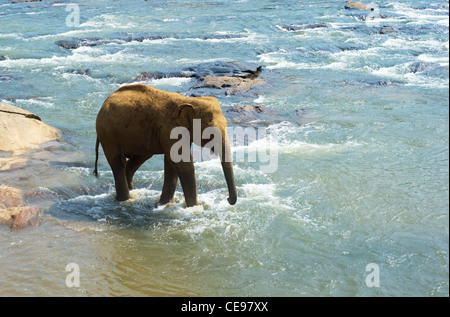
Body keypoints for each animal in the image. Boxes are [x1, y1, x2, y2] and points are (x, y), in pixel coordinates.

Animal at [93, 84, 237, 206]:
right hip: (107, 133)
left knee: (140, 157)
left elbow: (172, 162)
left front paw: (165, 205)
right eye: (211, 133)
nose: (227, 199)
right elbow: (183, 164)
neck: (188, 100)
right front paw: (194, 208)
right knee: (118, 162)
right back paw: (125, 200)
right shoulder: (169, 130)